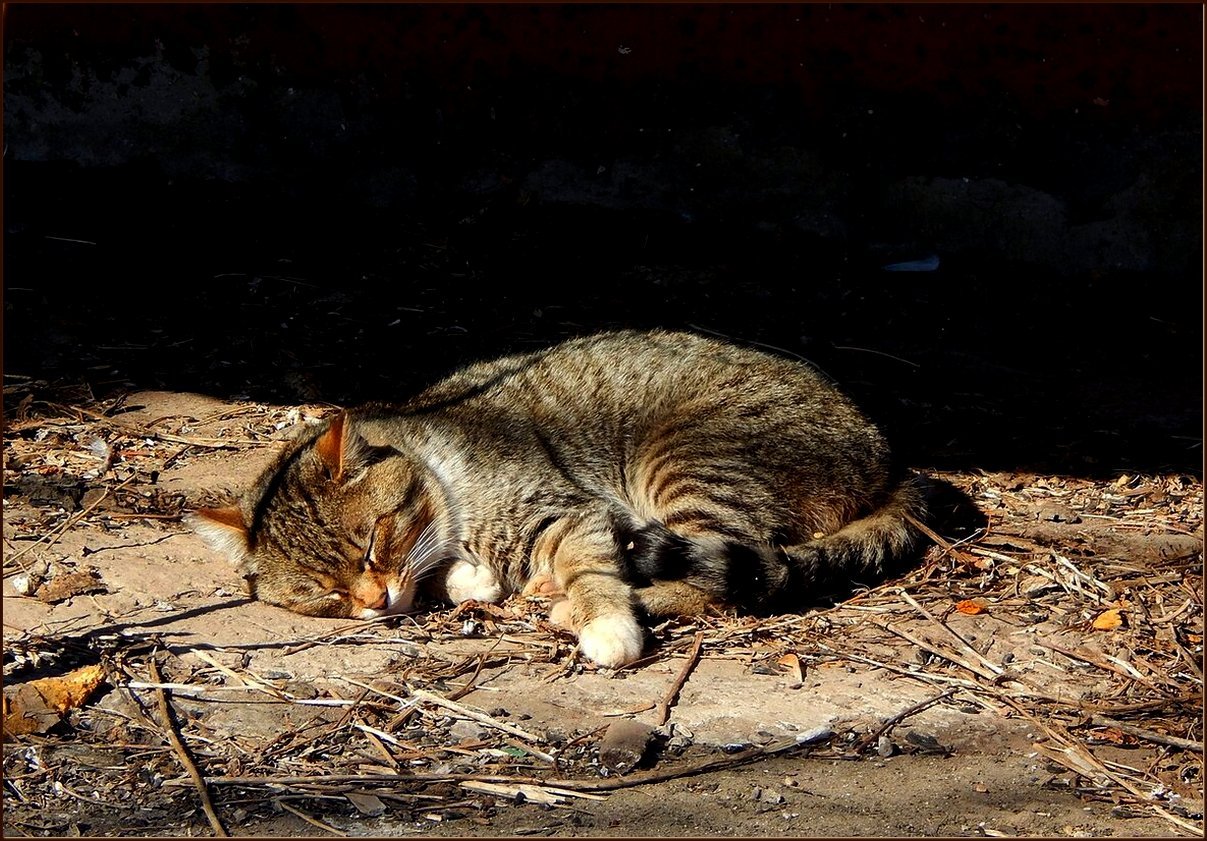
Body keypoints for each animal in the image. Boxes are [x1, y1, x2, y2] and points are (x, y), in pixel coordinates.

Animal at [188, 330, 926, 666]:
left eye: (371, 542)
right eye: (323, 593)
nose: (375, 603)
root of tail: (888, 455)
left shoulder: (570, 510)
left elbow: (596, 571)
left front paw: (605, 623)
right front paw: (471, 580)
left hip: (690, 462)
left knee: (724, 576)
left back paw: (580, 605)